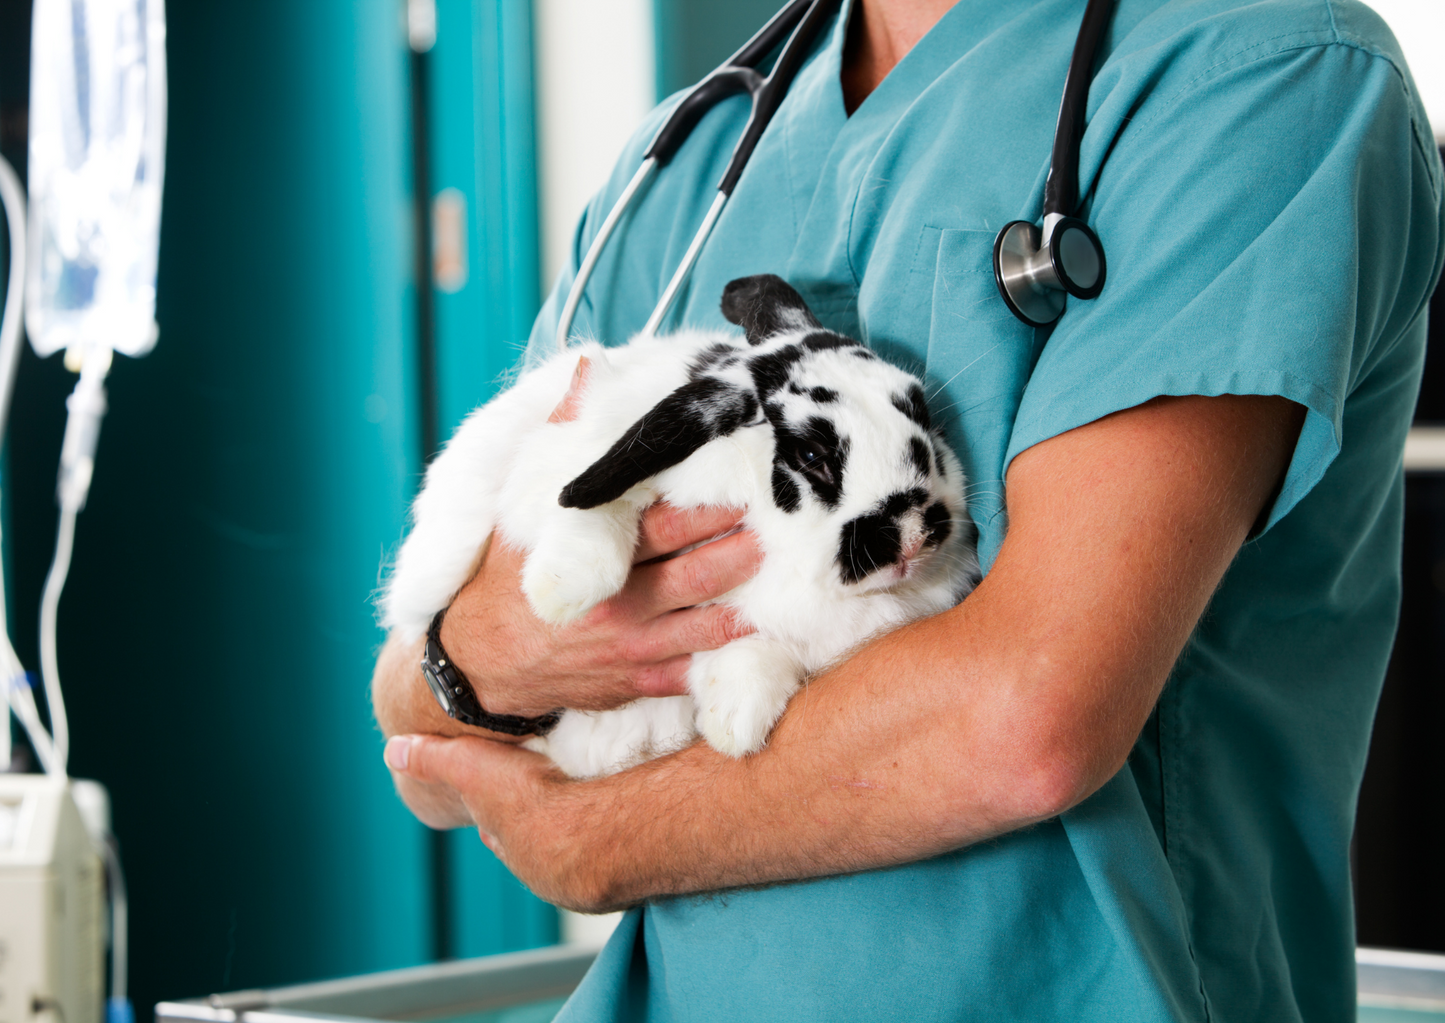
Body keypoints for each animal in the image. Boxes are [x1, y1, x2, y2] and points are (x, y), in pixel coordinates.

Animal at [382, 274, 979, 778]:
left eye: (921, 413)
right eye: (812, 454)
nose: (911, 536)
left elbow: (752, 646)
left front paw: (735, 721)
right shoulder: (565, 462)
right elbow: (596, 509)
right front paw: (563, 592)